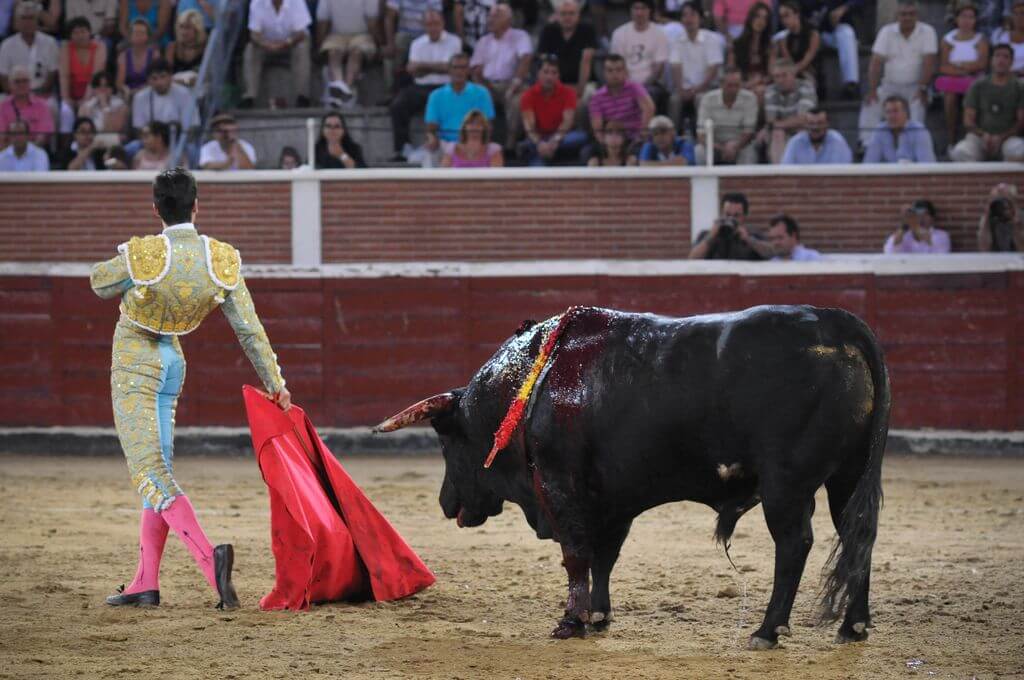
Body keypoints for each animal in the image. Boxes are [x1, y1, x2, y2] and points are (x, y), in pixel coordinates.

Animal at [374, 305, 890, 649]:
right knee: (857, 535)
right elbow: (604, 557)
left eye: (447, 443)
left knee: (795, 543)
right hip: (848, 476)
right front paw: (598, 615)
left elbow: (576, 556)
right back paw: (854, 626)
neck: (531, 382)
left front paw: (571, 621)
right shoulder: (611, 501)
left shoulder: (561, 488)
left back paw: (767, 630)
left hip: (786, 484)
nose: (446, 503)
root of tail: (835, 322)